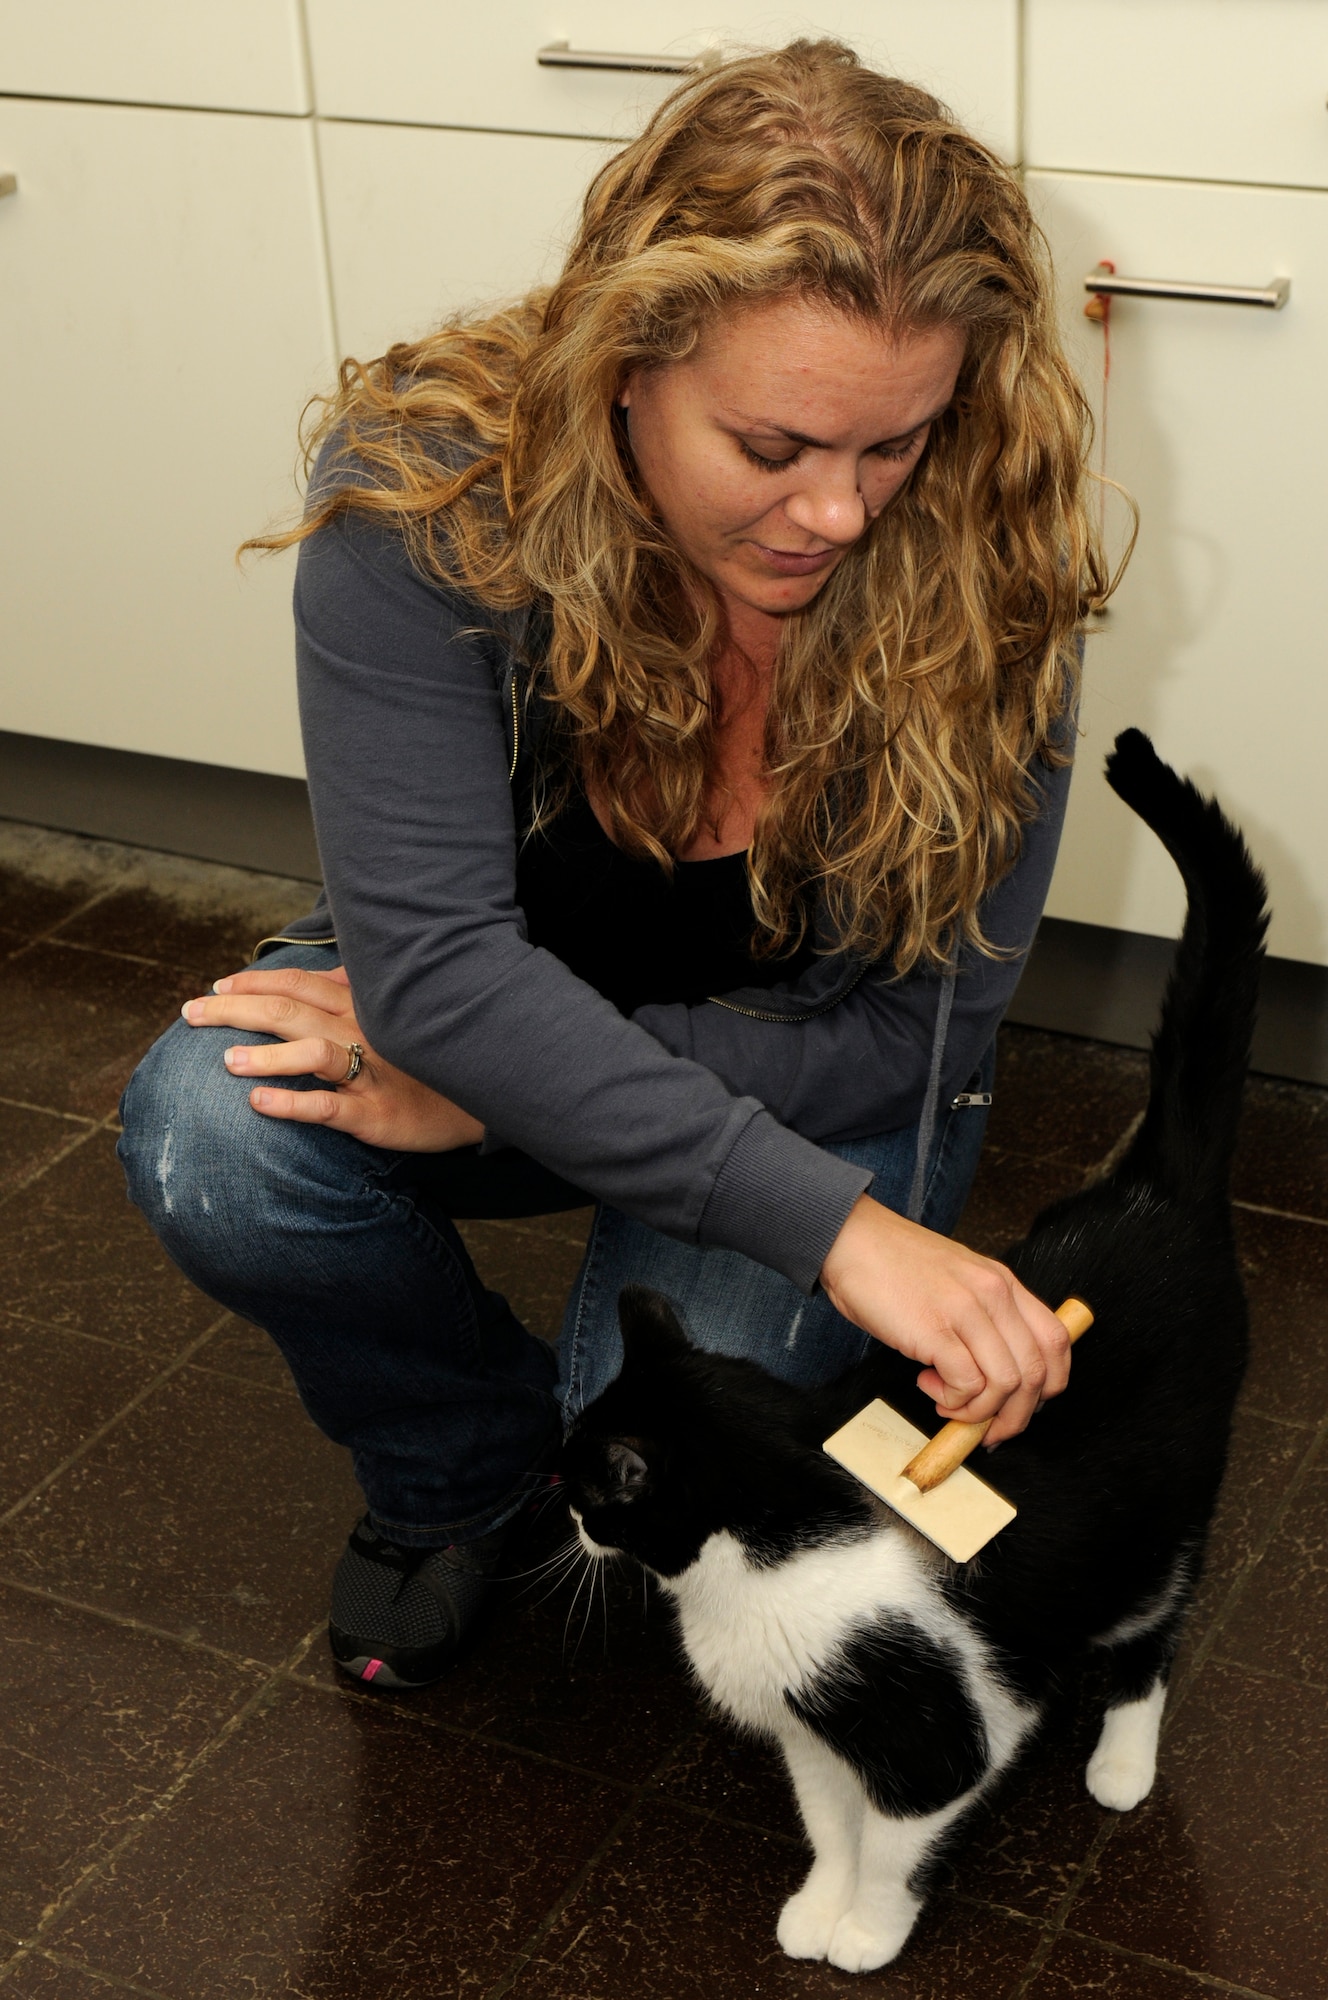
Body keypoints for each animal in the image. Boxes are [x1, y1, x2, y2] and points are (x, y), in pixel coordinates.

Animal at [556, 732, 1264, 1968]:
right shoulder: (810, 1730)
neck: (762, 1561)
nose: (567, 1519)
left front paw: (866, 1934)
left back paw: (1121, 1763)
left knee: (1153, 1628)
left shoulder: (942, 1728)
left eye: (595, 1486)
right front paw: (813, 1905)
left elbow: (895, 1843)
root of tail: (1152, 1189)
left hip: (1162, 1521)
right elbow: (825, 1818)